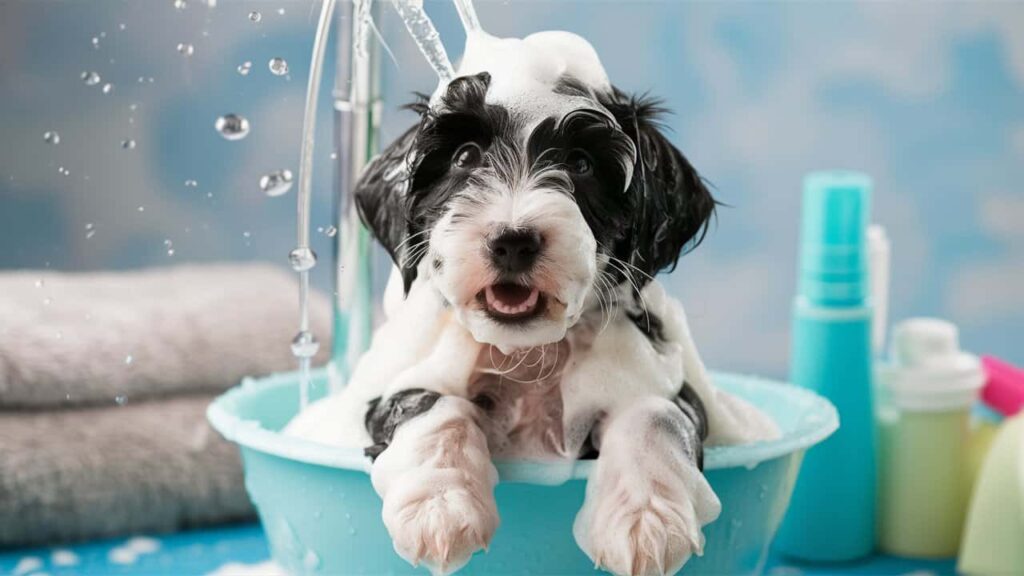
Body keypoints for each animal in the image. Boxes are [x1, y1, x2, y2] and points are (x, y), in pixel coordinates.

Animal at [288, 30, 774, 573]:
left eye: (582, 164)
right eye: (465, 157)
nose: (513, 241)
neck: (527, 356)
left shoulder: (669, 382)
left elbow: (655, 411)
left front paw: (646, 519)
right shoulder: (388, 387)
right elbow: (429, 401)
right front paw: (440, 505)